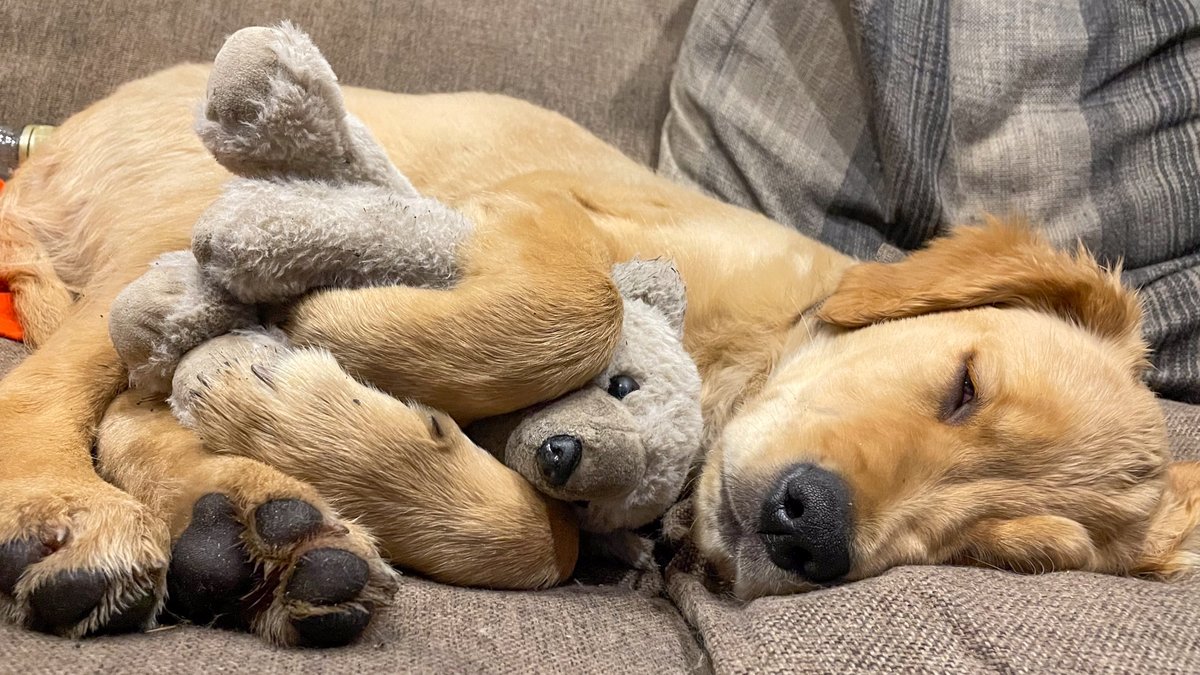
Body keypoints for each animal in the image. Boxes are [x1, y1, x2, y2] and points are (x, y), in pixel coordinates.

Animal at [0, 35, 1195, 638]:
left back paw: (261, 530)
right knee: (53, 393)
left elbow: (542, 539)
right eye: (964, 383)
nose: (808, 531)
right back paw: (69, 513)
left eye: (1008, 555)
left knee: (126, 411)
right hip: (175, 204)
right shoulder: (547, 207)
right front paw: (336, 328)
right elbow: (579, 307)